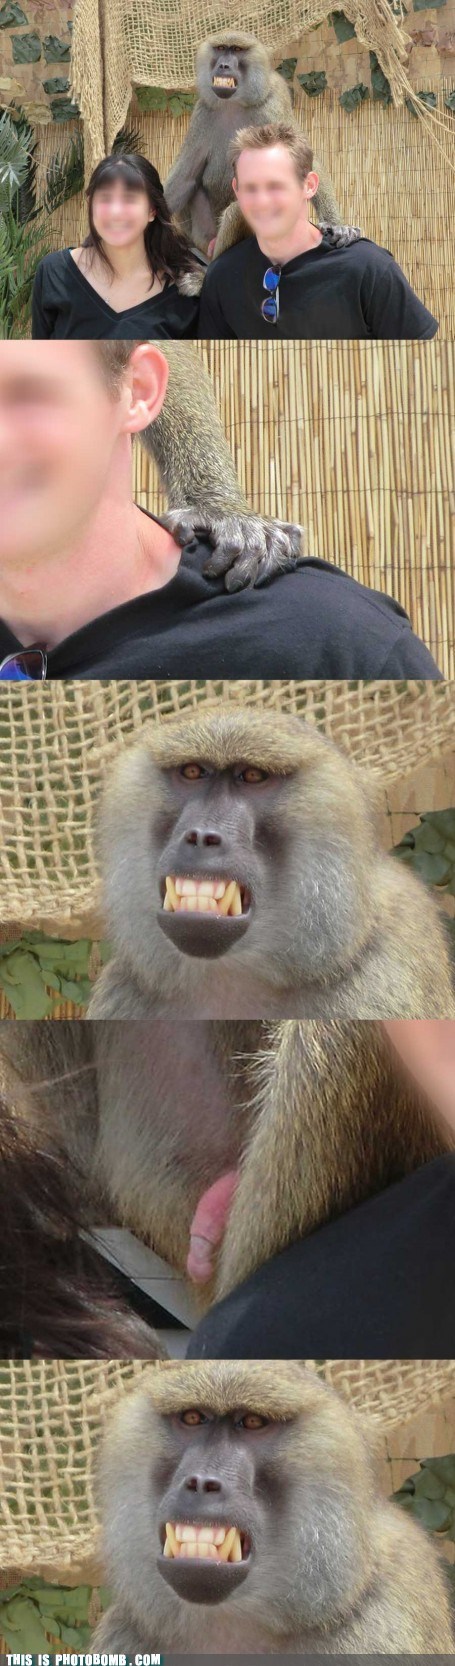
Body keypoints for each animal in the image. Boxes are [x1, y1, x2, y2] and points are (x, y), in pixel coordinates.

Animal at [164, 32, 359, 259]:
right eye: (220, 48)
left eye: (237, 50)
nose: (223, 65)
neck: (234, 104)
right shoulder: (202, 114)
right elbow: (184, 178)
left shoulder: (270, 107)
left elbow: (309, 160)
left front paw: (336, 225)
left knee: (235, 212)